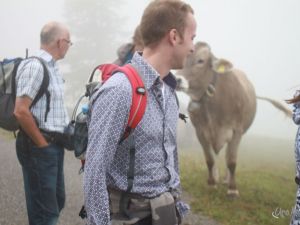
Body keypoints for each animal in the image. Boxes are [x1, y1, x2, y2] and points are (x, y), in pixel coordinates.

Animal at [177, 41, 292, 197]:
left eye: (200, 60)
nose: (177, 79)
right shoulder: (200, 132)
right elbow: (209, 159)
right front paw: (212, 183)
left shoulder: (236, 131)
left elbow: (231, 161)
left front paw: (232, 189)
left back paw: (226, 179)